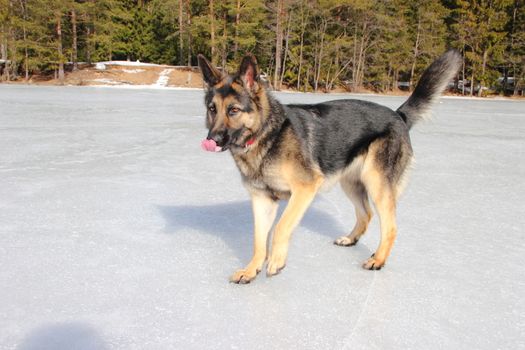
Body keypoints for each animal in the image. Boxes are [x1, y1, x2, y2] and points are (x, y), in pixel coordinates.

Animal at [199, 50, 460, 284]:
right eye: (212, 109)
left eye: (233, 110)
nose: (212, 139)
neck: (266, 136)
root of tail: (399, 115)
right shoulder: (262, 200)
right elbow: (258, 239)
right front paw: (251, 270)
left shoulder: (304, 189)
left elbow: (281, 227)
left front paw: (276, 261)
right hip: (351, 183)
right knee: (366, 214)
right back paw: (351, 240)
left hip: (376, 183)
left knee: (391, 226)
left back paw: (378, 260)